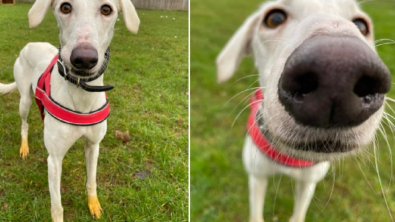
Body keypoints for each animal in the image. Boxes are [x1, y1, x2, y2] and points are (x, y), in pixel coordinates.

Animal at [0, 0, 141, 221]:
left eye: (107, 9)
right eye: (65, 7)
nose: (84, 59)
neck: (81, 92)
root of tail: (31, 44)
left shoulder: (93, 146)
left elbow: (92, 181)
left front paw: (93, 205)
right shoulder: (54, 160)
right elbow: (57, 207)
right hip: (24, 100)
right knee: (24, 124)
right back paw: (24, 146)